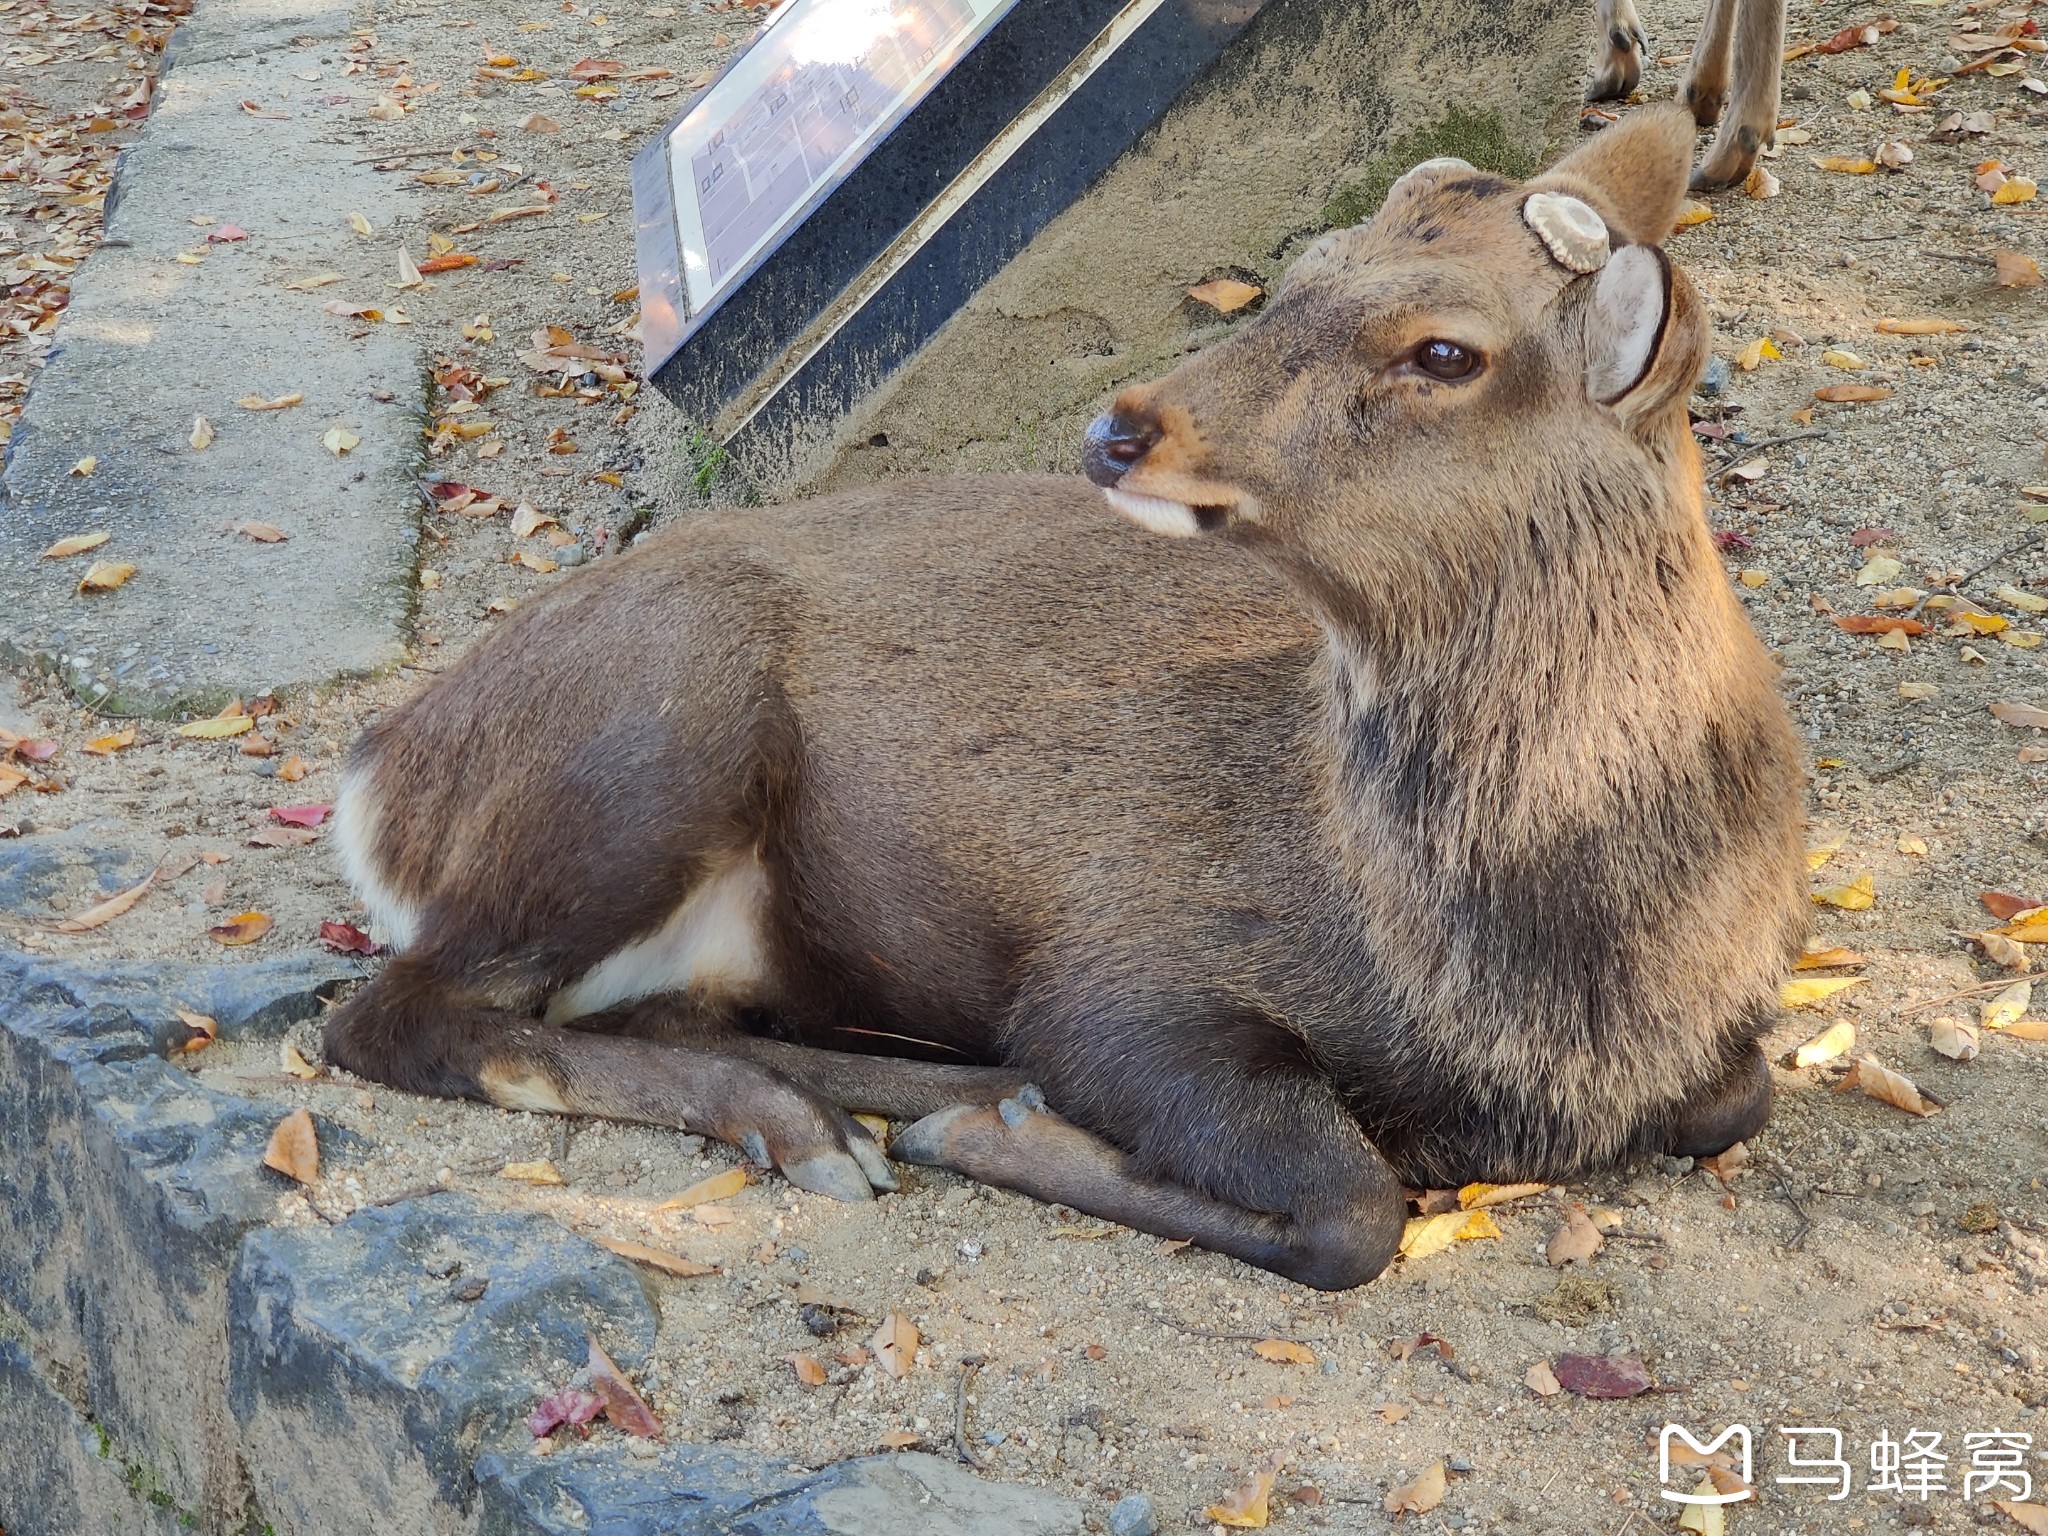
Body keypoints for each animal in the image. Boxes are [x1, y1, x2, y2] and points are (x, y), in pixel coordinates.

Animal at [327, 102, 1802, 1294]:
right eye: (1301, 268)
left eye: (1445, 353)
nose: (1118, 427)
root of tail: (373, 774)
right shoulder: (1124, 967)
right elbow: (1352, 1209)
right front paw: (999, 1126)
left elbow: (1735, 1099)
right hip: (655, 737)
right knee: (392, 1016)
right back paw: (841, 1123)